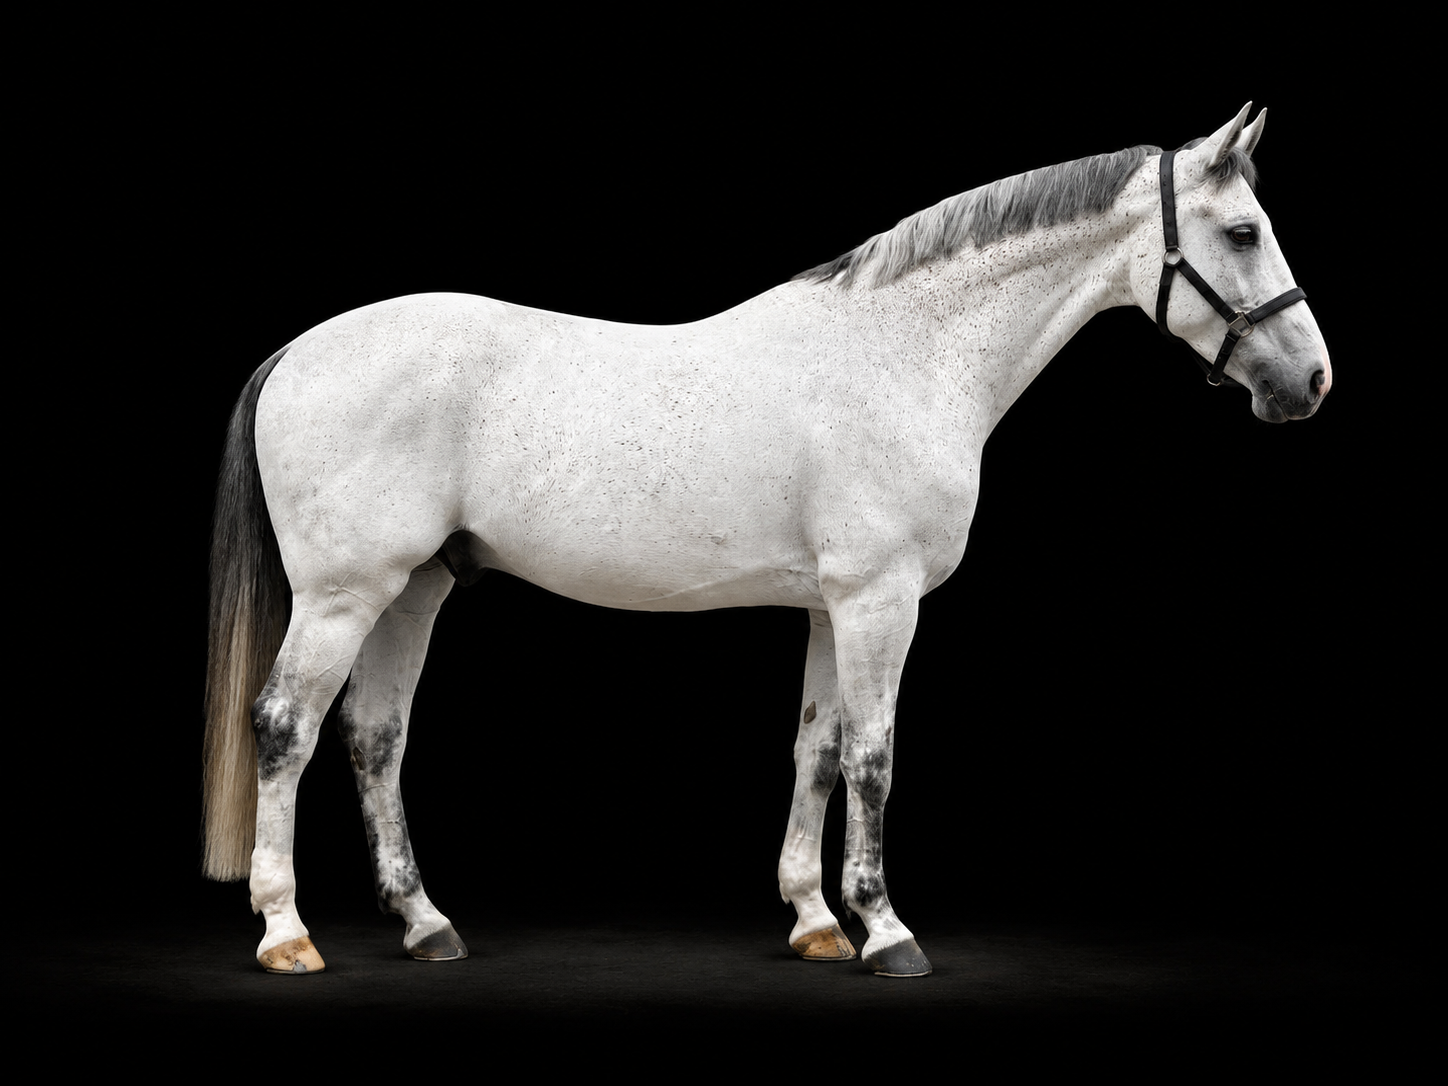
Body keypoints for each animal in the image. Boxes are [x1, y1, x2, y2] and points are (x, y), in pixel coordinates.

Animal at [204, 104, 1330, 977]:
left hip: (411, 591)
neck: (904, 355)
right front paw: (887, 931)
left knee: (373, 739)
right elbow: (874, 758)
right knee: (285, 728)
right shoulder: (880, 601)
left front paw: (817, 922)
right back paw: (286, 934)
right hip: (344, 596)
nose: (1311, 382)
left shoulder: (834, 607)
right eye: (1241, 232)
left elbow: (817, 752)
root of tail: (298, 350)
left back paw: (425, 924)